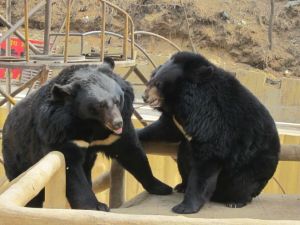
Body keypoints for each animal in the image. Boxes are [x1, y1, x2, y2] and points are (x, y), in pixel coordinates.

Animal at [2, 57, 172, 211]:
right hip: (18, 158)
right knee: (32, 191)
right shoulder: (60, 130)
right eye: (100, 106)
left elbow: (132, 153)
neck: (93, 124)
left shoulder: (114, 133)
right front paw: (96, 206)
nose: (117, 123)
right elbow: (70, 168)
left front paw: (163, 187)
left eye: (118, 100)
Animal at [139, 51, 280, 214]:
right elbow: (166, 128)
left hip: (254, 165)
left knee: (242, 183)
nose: (144, 96)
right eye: (151, 80)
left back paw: (236, 201)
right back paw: (182, 186)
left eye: (158, 84)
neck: (180, 101)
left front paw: (183, 208)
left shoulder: (213, 119)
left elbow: (207, 159)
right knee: (183, 158)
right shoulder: (178, 117)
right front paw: (137, 133)